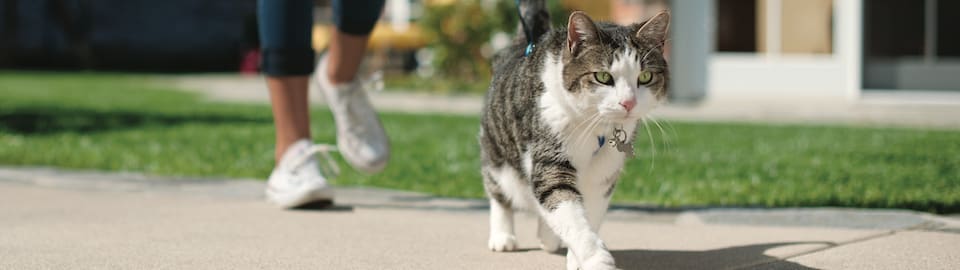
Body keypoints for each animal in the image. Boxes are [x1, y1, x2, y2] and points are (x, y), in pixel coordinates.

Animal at [478, 1, 668, 268]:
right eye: (603, 76)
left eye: (645, 76)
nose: (628, 103)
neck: (594, 125)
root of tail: (523, 42)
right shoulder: (550, 155)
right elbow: (565, 207)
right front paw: (597, 259)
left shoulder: (603, 173)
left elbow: (587, 214)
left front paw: (576, 258)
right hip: (496, 148)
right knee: (499, 191)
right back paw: (503, 236)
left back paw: (548, 238)